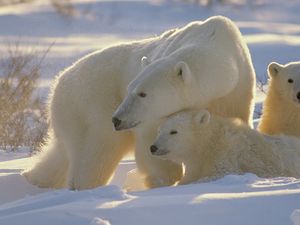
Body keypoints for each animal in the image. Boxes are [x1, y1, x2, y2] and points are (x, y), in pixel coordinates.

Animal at [22, 15, 255, 190]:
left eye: (142, 94)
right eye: (129, 89)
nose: (117, 119)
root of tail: (58, 83)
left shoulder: (236, 92)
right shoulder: (151, 117)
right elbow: (151, 142)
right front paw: (162, 177)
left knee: (60, 155)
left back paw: (32, 177)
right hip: (90, 105)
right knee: (98, 151)